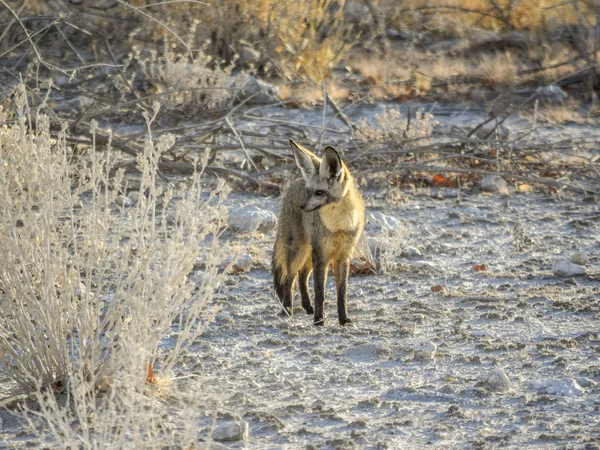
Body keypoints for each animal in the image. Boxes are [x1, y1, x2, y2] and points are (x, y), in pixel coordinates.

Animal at [272, 139, 366, 326]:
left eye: (320, 192)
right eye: (308, 191)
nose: (301, 206)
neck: (339, 226)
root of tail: (293, 183)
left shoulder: (343, 257)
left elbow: (341, 294)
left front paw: (343, 319)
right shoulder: (321, 256)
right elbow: (320, 293)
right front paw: (319, 320)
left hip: (308, 254)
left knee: (301, 276)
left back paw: (307, 307)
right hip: (299, 252)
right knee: (289, 279)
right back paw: (287, 309)